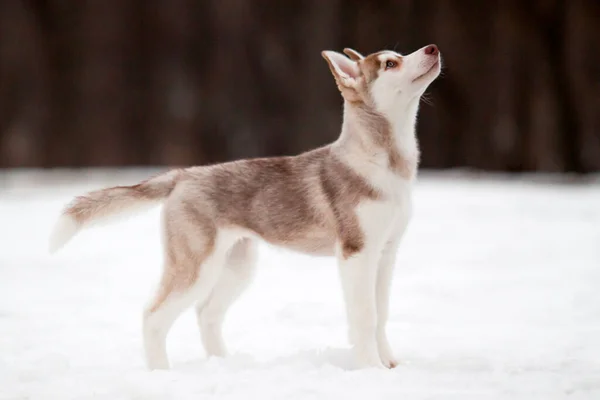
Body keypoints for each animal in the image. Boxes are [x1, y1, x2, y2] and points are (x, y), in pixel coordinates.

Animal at [50, 43, 440, 368]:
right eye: (390, 63)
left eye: (400, 54)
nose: (433, 47)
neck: (386, 165)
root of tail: (183, 175)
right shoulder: (356, 254)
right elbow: (365, 315)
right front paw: (371, 369)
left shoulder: (385, 253)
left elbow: (382, 313)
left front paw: (389, 364)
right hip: (196, 266)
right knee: (153, 316)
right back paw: (161, 372)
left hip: (238, 265)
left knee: (206, 312)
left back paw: (224, 364)